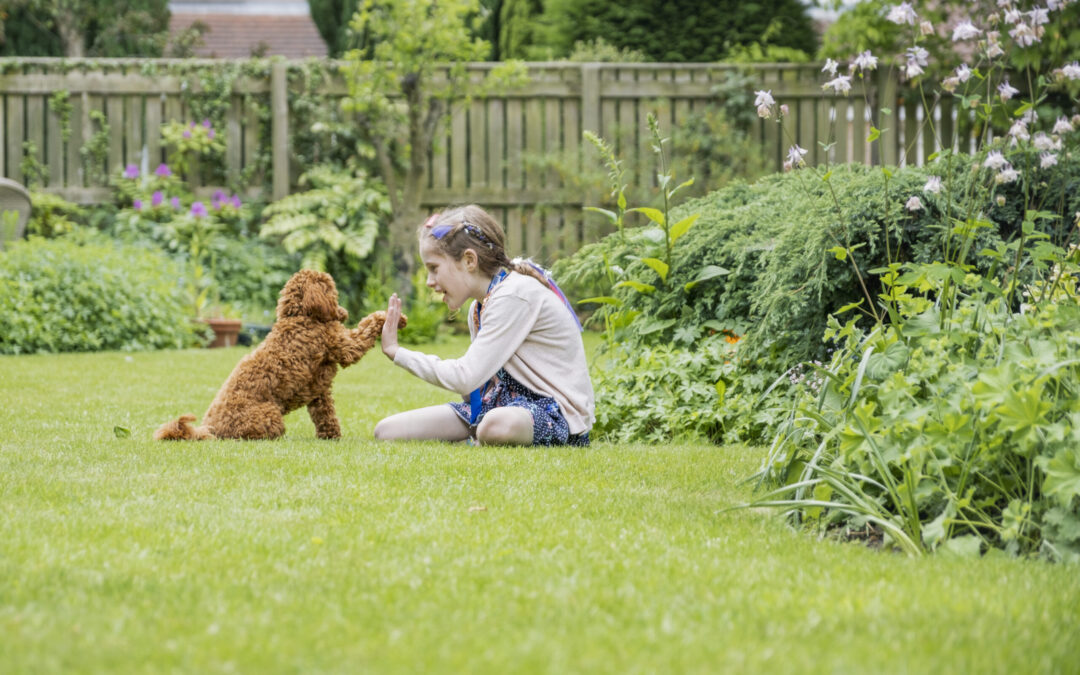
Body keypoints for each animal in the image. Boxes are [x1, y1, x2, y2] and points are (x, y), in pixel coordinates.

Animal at [154, 268, 403, 442]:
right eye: (333, 292)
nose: (344, 312)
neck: (301, 317)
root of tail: (209, 428)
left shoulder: (318, 390)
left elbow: (325, 415)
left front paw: (331, 436)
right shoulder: (343, 345)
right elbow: (367, 326)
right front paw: (392, 317)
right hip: (270, 414)